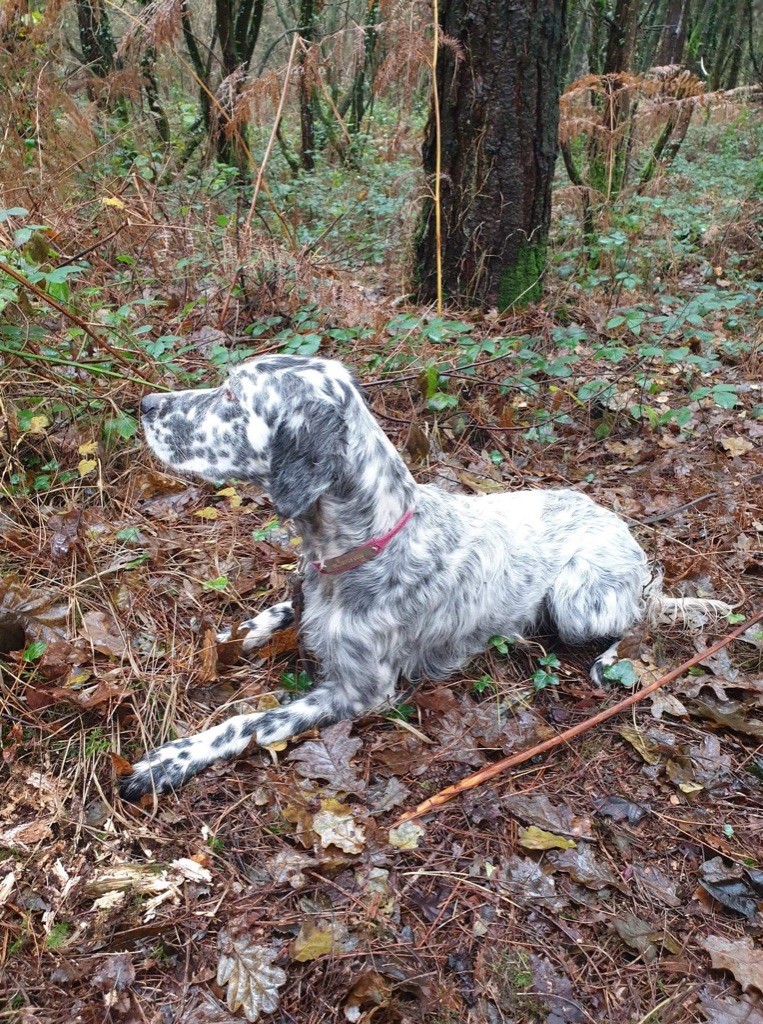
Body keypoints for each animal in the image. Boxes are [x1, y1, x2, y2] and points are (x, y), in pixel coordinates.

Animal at [121, 354, 729, 798]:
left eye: (230, 396)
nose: (145, 404)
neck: (364, 543)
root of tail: (626, 533)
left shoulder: (359, 692)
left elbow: (249, 722)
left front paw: (169, 760)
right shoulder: (308, 598)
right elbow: (272, 613)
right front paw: (224, 639)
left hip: (579, 600)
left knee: (639, 618)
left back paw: (611, 659)